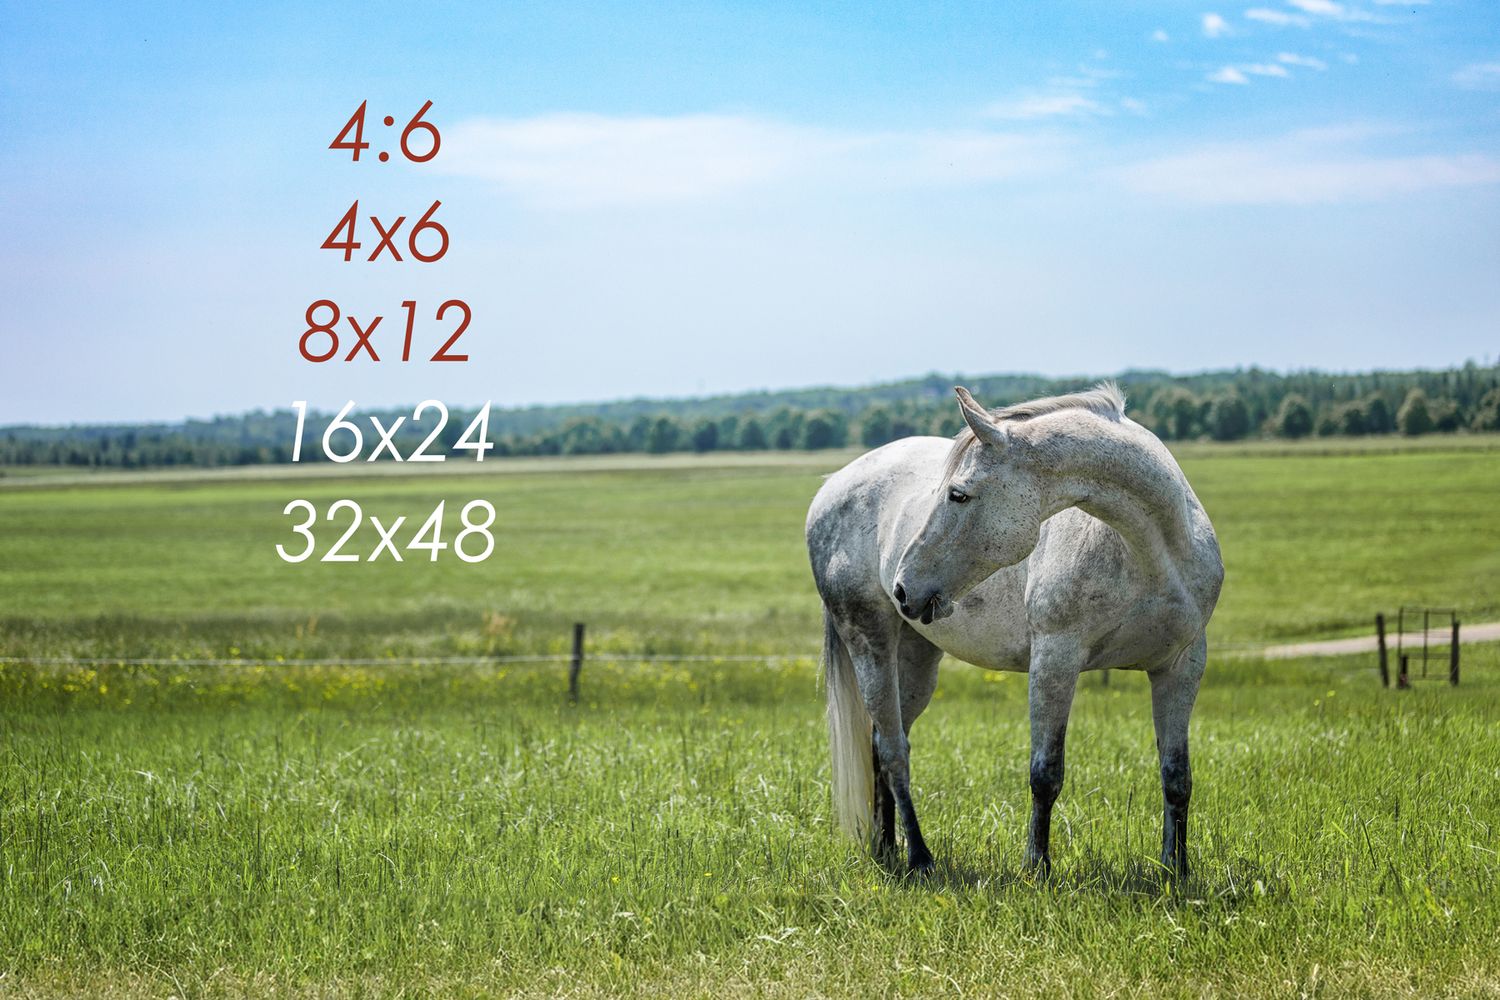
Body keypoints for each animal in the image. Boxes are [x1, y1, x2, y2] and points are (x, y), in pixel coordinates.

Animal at [805, 383, 1223, 876]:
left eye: (958, 494)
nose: (903, 587)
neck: (1150, 553)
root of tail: (832, 485)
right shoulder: (1055, 659)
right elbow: (1046, 773)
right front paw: (1037, 867)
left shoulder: (1180, 667)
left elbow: (1177, 777)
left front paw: (1176, 871)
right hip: (869, 640)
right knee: (893, 752)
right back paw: (920, 858)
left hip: (915, 657)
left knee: (880, 746)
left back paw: (888, 849)